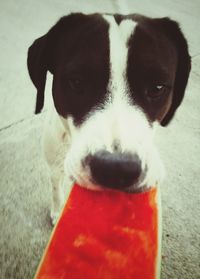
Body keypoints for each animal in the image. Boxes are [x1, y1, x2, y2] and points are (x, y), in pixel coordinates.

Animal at [27, 13, 191, 225]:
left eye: (157, 87)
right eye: (76, 82)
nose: (116, 169)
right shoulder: (55, 165)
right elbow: (56, 189)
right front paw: (57, 211)